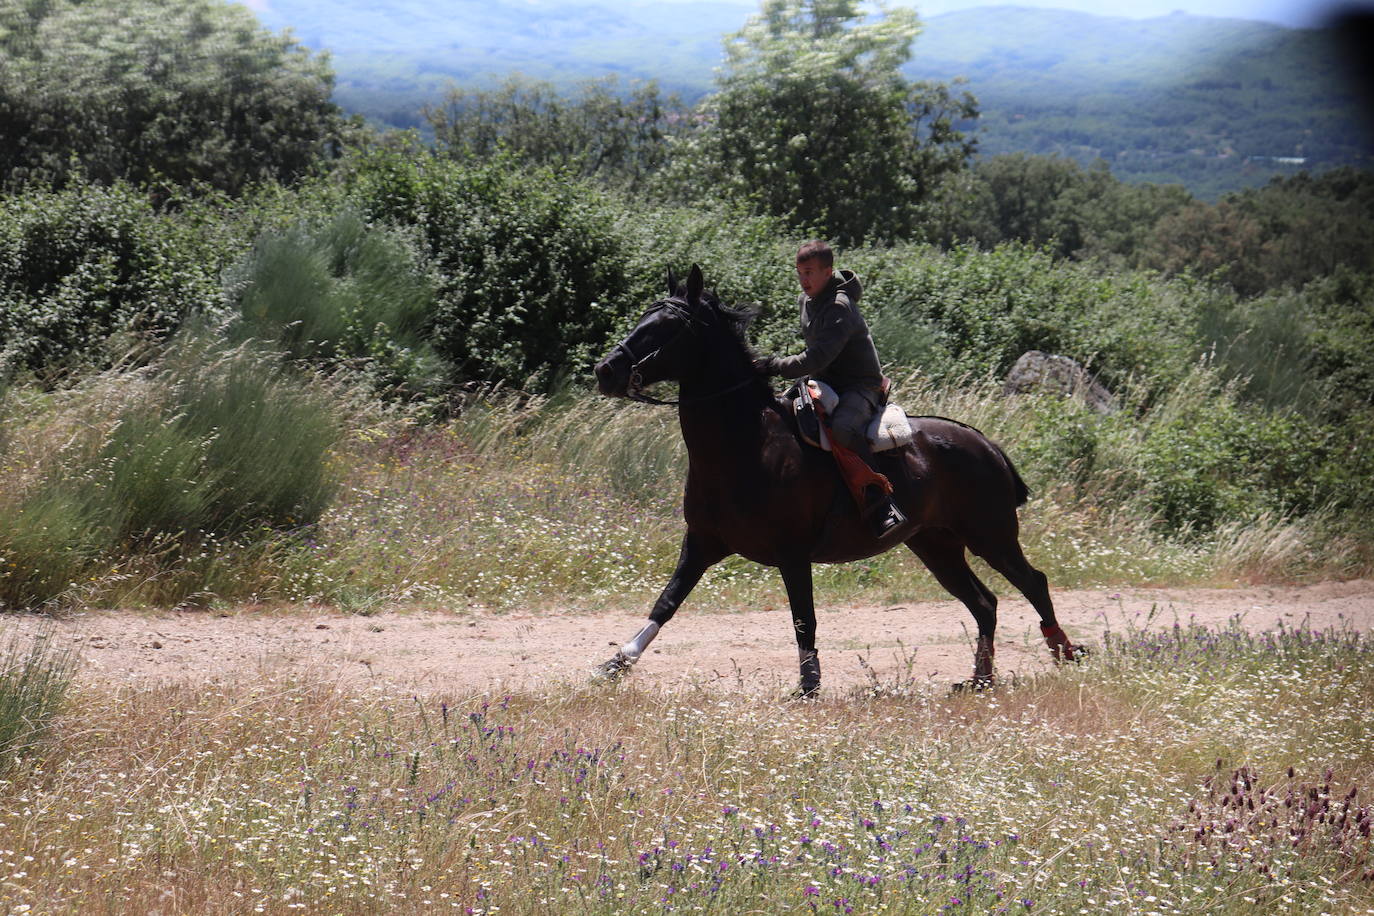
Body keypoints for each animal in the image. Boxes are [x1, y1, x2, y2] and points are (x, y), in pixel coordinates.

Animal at [590, 265, 1082, 694]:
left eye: (666, 326)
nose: (606, 370)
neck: (746, 444)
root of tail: (986, 444)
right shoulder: (701, 544)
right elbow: (667, 601)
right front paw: (616, 662)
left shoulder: (792, 554)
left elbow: (803, 619)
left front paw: (809, 684)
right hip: (937, 546)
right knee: (985, 603)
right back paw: (980, 679)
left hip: (991, 536)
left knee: (1033, 583)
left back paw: (1063, 651)